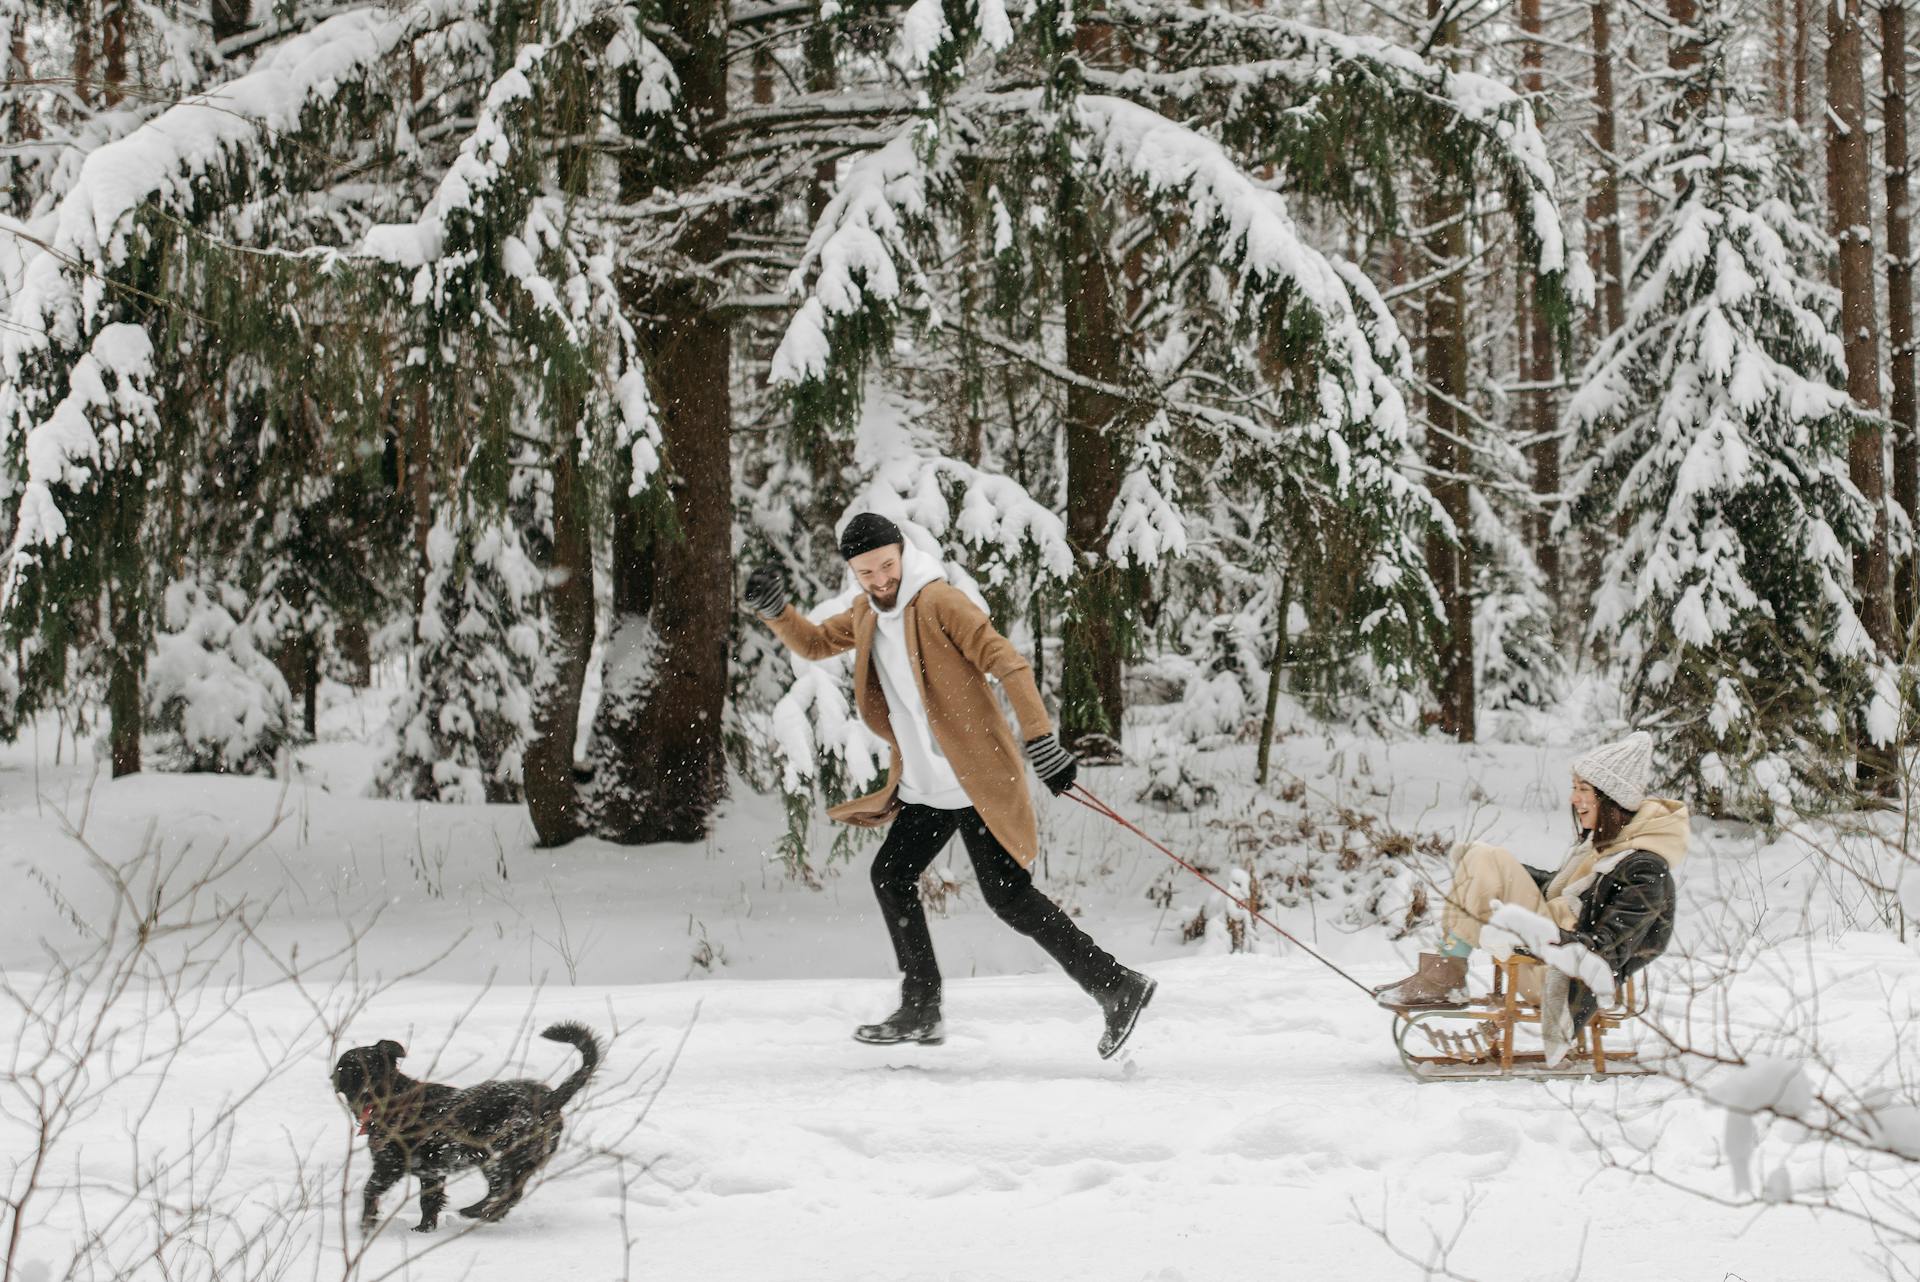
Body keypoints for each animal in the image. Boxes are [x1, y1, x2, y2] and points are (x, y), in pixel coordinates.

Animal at [332, 1020, 599, 1228]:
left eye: (344, 1067)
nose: (334, 1076)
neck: (390, 1096)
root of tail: (549, 1098)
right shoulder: (431, 1174)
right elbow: (429, 1202)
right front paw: (423, 1230)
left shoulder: (389, 1165)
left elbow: (370, 1190)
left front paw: (366, 1225)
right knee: (511, 1190)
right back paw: (485, 1213)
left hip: (494, 1153)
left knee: (504, 1188)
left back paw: (479, 1212)